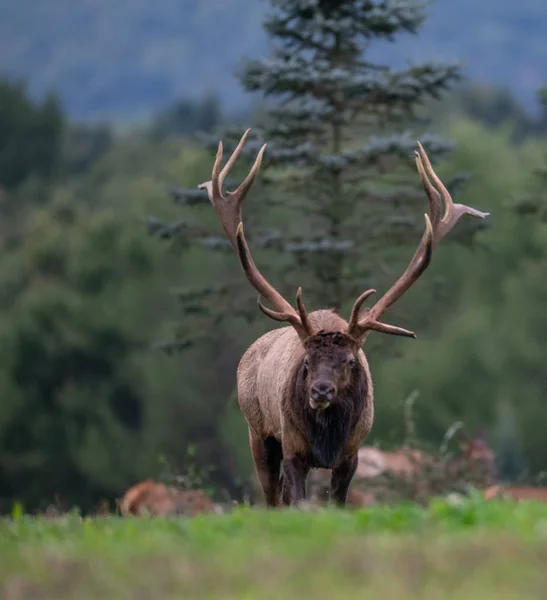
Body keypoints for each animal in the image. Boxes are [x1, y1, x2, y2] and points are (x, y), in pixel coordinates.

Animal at [197, 127, 488, 506]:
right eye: (306, 361)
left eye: (350, 360)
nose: (321, 391)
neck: (328, 441)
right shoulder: (292, 448)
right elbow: (299, 501)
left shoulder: (353, 453)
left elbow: (338, 502)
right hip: (257, 432)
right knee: (273, 497)